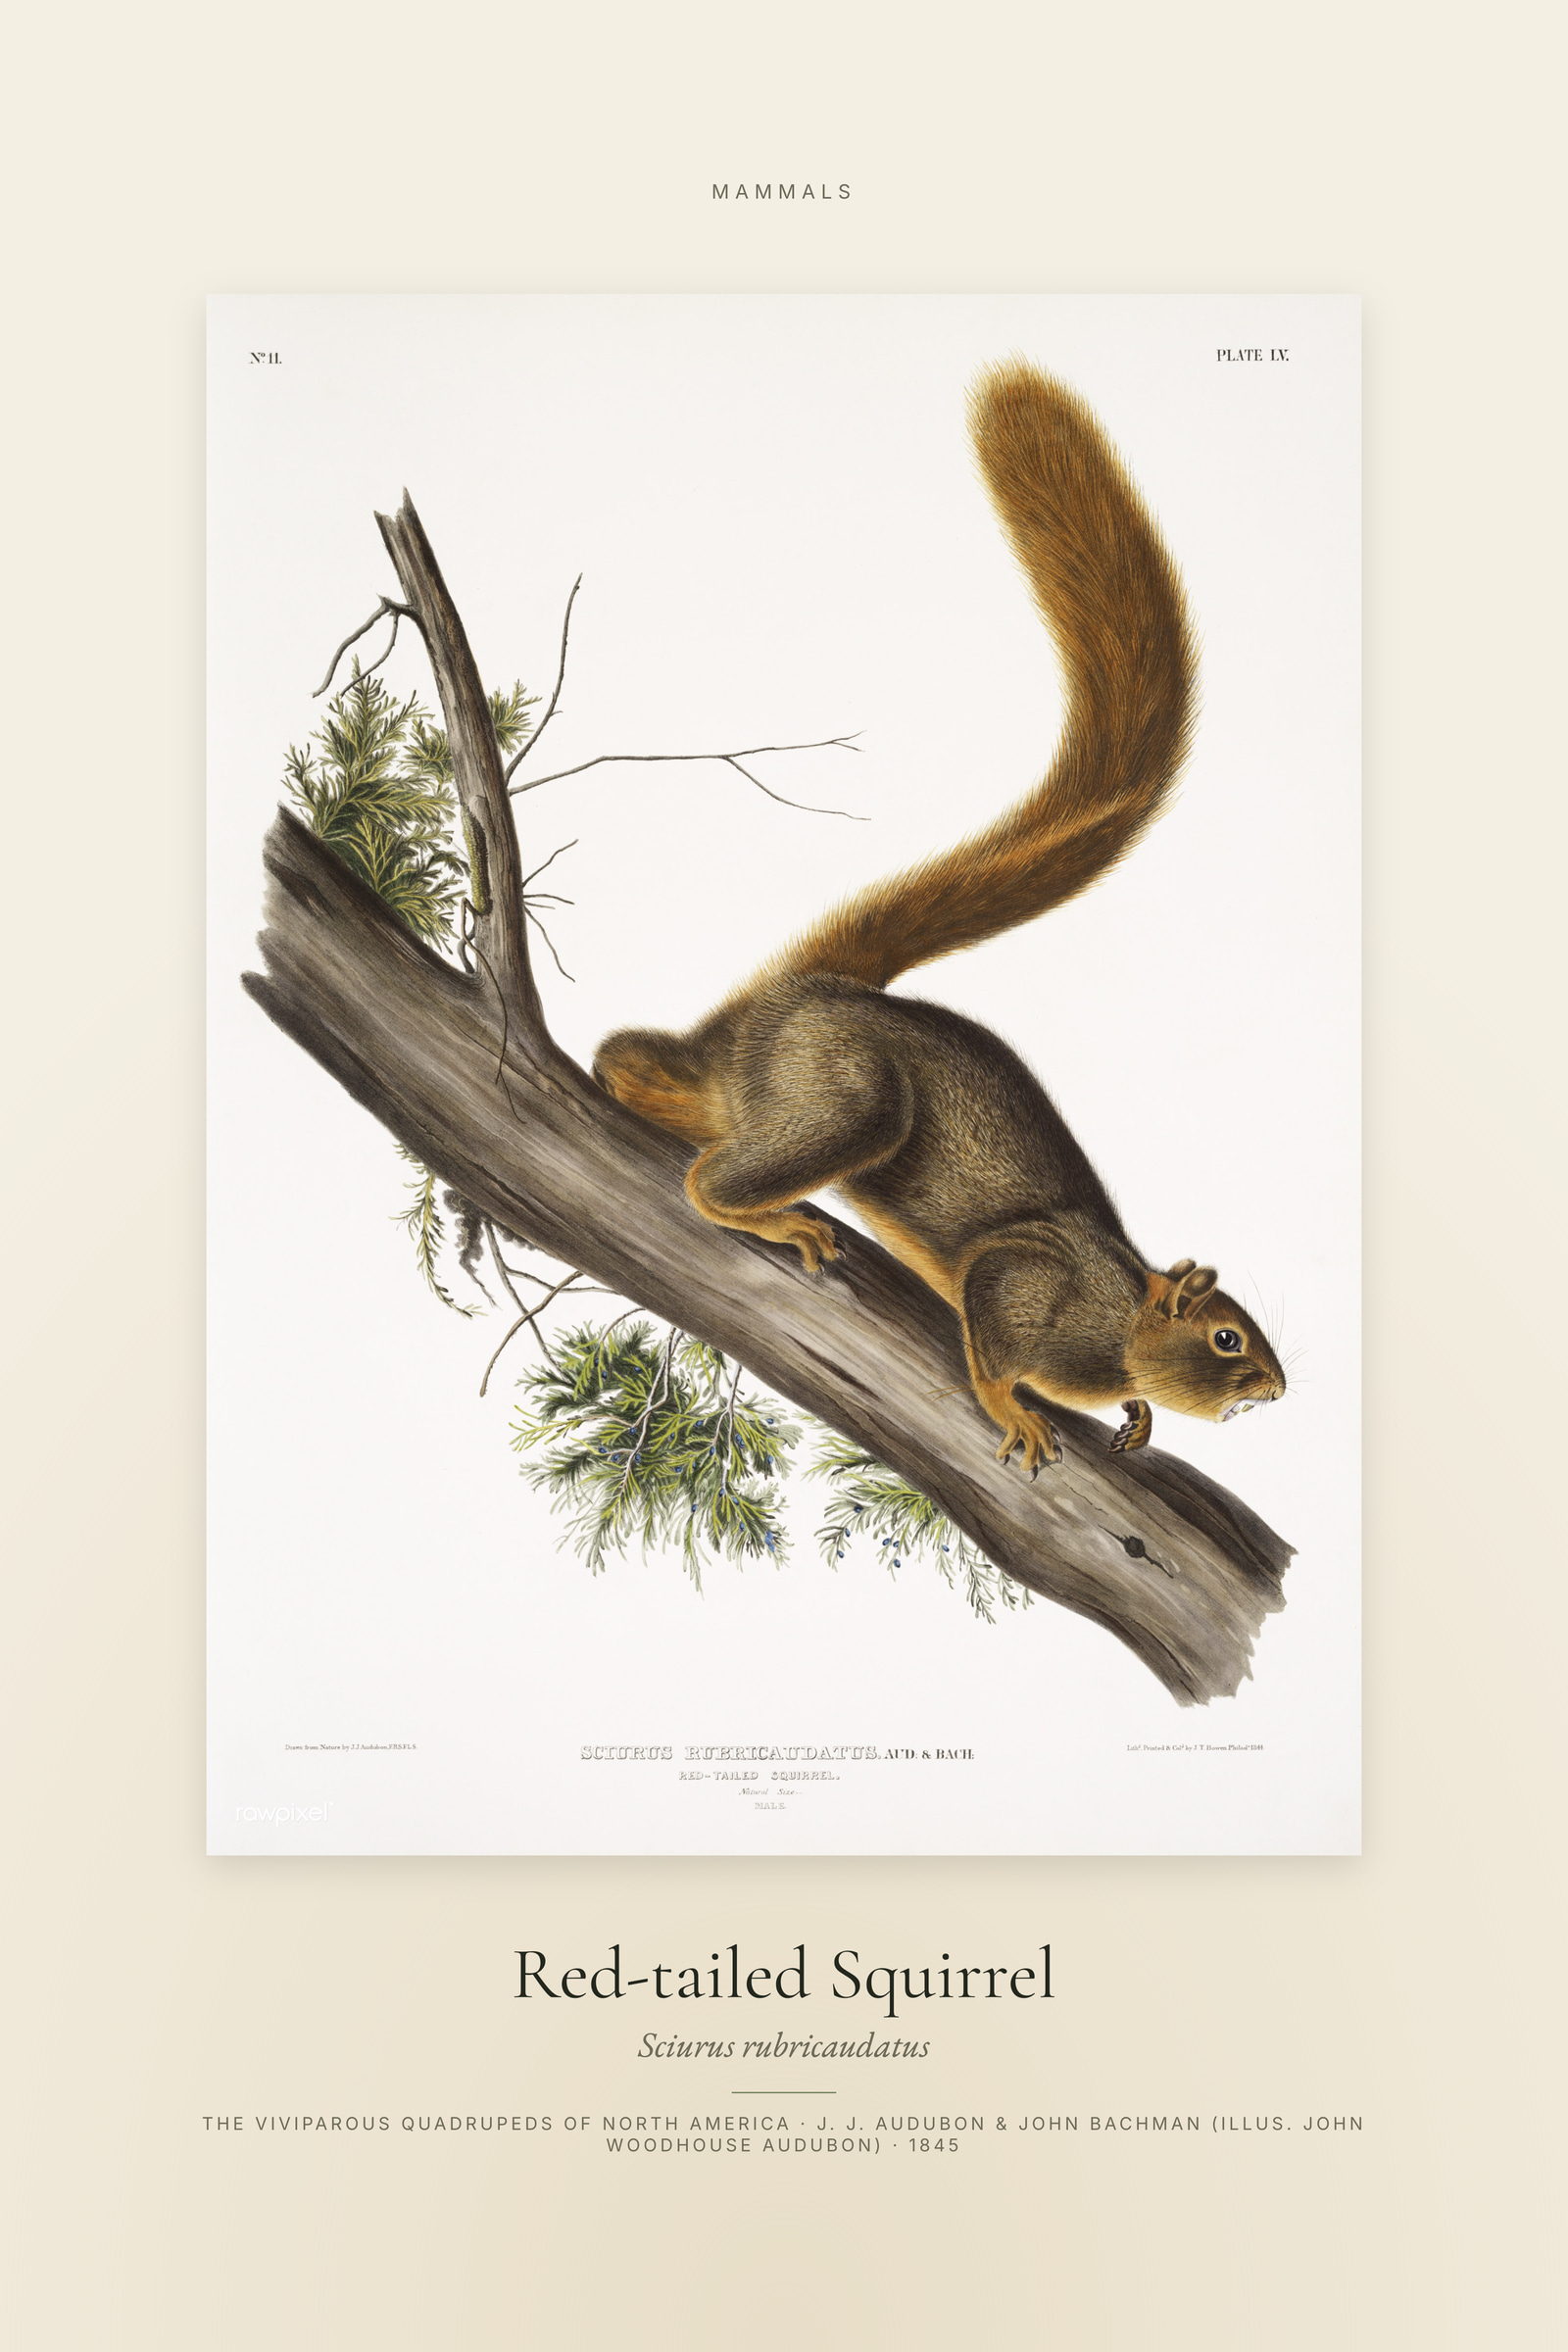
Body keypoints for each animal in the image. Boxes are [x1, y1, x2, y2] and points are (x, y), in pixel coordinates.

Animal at [593, 361, 1285, 1473]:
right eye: (1227, 1338)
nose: (1278, 1385)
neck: (1119, 1312)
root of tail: (798, 996)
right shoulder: (1019, 1281)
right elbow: (993, 1334)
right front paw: (1016, 1407)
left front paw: (1135, 1416)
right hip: (845, 1100)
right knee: (706, 1170)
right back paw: (772, 1217)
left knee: (645, 1070)